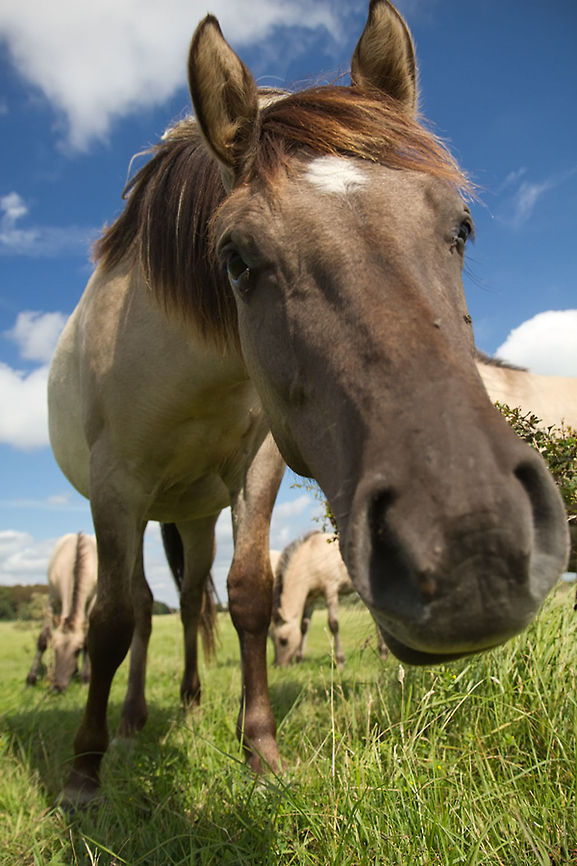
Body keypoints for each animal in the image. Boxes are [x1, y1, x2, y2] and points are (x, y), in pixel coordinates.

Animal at [26, 532, 97, 692]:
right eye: (55, 648)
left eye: (77, 650)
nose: (58, 687)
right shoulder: (52, 599)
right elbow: (43, 639)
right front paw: (30, 680)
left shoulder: (93, 601)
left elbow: (87, 639)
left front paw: (86, 679)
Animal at [271, 530, 388, 666]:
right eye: (271, 638)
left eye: (283, 640)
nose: (279, 665)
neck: (311, 555)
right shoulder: (311, 598)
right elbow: (304, 626)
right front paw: (300, 658)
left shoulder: (331, 591)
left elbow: (333, 624)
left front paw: (340, 660)